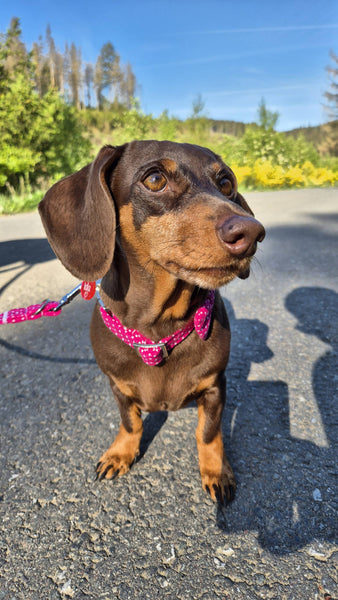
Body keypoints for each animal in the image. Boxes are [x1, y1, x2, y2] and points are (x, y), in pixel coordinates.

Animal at [37, 141, 264, 502]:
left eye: (226, 182)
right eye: (155, 179)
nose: (252, 233)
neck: (159, 330)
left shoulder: (215, 387)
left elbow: (208, 433)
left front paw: (216, 471)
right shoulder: (118, 387)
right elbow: (131, 422)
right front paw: (121, 453)